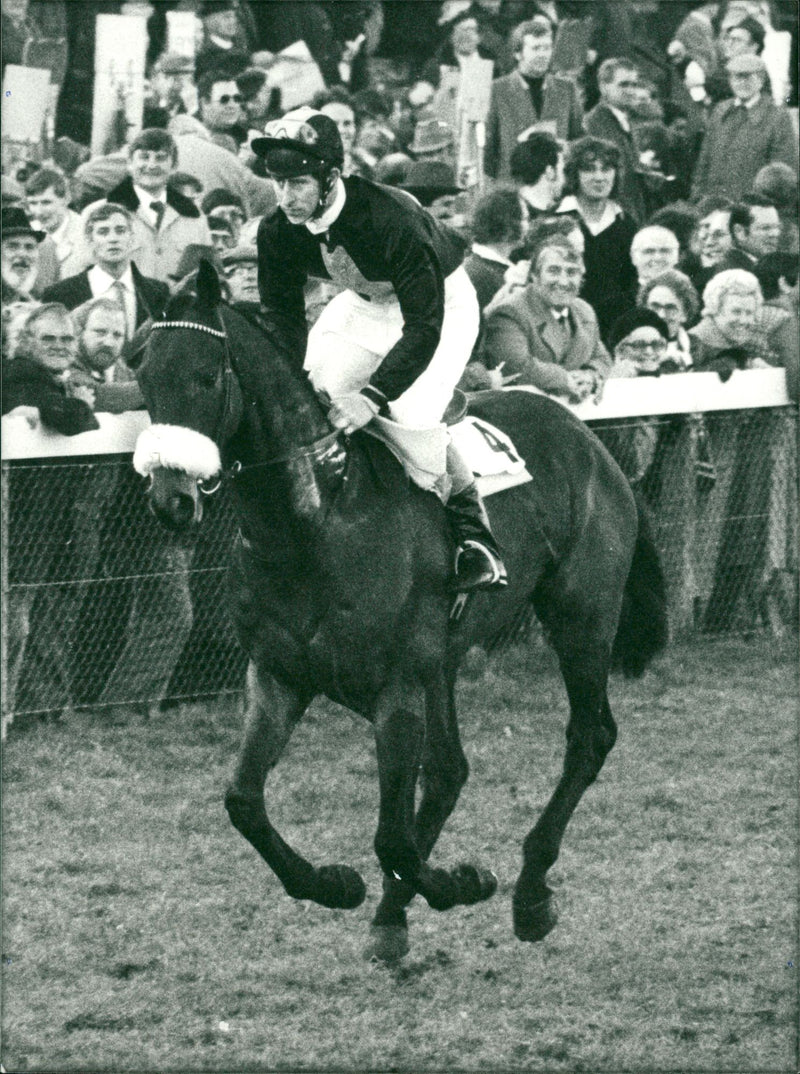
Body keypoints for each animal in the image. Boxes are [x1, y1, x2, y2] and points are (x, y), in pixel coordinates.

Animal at [132, 262, 665, 966]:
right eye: (141, 374)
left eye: (204, 375)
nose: (170, 499)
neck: (312, 522)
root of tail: (589, 441)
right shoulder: (279, 676)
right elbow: (243, 801)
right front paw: (335, 885)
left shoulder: (396, 686)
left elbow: (392, 837)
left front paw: (461, 882)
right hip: (445, 657)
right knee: (449, 771)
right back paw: (394, 915)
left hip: (581, 616)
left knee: (588, 737)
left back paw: (529, 893)